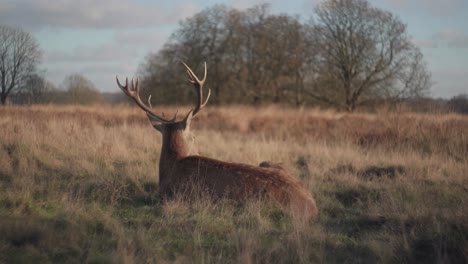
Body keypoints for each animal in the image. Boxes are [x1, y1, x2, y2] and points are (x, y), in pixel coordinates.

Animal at [116, 62, 318, 219]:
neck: (170, 168)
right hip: (269, 163)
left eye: (194, 135)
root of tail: (311, 205)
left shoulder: (173, 197)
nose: (198, 149)